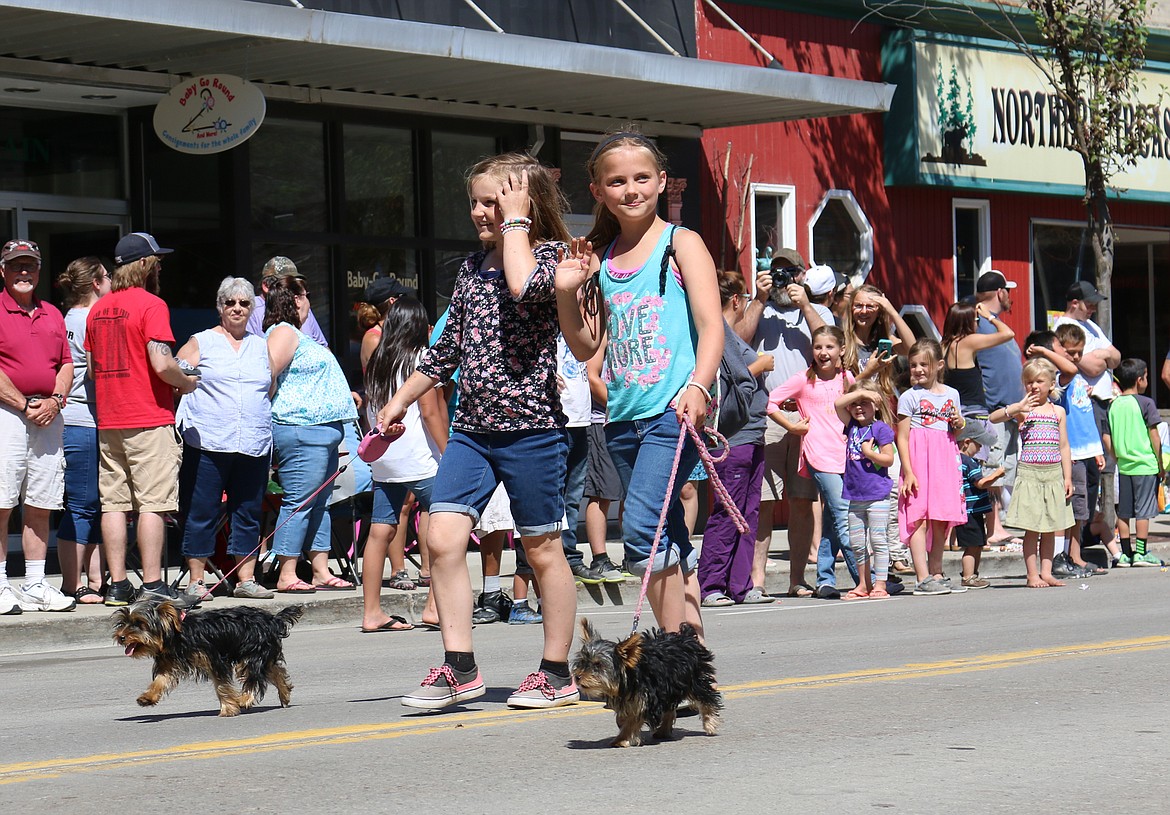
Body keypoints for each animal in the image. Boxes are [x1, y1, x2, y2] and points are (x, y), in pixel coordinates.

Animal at [111, 598, 301, 720]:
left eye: (139, 623)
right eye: (123, 623)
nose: (121, 637)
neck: (176, 636)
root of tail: (272, 619)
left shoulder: (215, 660)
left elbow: (222, 686)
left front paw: (228, 708)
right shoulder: (169, 663)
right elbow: (160, 680)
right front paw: (147, 697)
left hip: (252, 653)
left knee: (254, 677)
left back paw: (244, 699)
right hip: (263, 653)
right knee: (275, 670)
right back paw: (284, 694)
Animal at [568, 617, 720, 743]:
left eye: (598, 665)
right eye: (582, 662)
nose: (578, 677)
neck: (629, 676)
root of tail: (685, 637)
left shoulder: (647, 698)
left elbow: (634, 719)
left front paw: (622, 739)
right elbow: (624, 716)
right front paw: (623, 727)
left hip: (693, 680)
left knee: (706, 698)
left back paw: (710, 723)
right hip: (670, 686)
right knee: (670, 708)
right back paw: (663, 730)